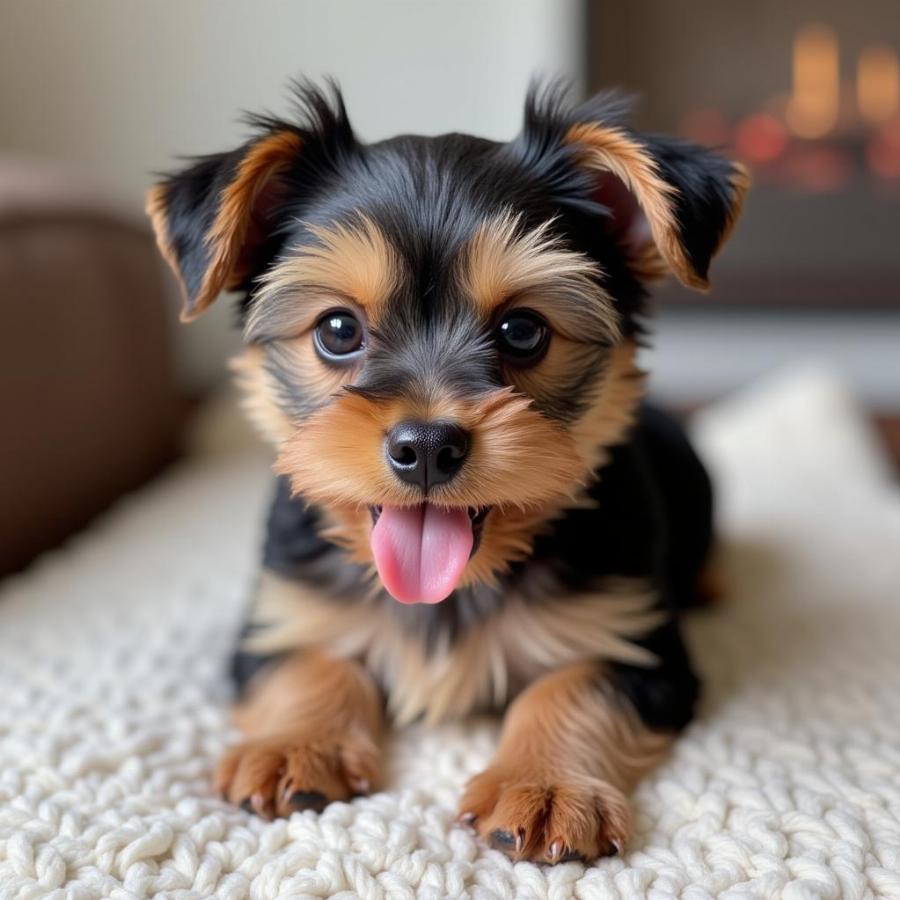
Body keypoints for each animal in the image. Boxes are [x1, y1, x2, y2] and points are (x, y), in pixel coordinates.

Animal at [148, 84, 748, 864]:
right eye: (337, 331)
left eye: (523, 331)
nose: (428, 444)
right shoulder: (281, 611)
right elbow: (309, 660)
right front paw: (293, 747)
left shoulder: (640, 643)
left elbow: (575, 685)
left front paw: (545, 787)